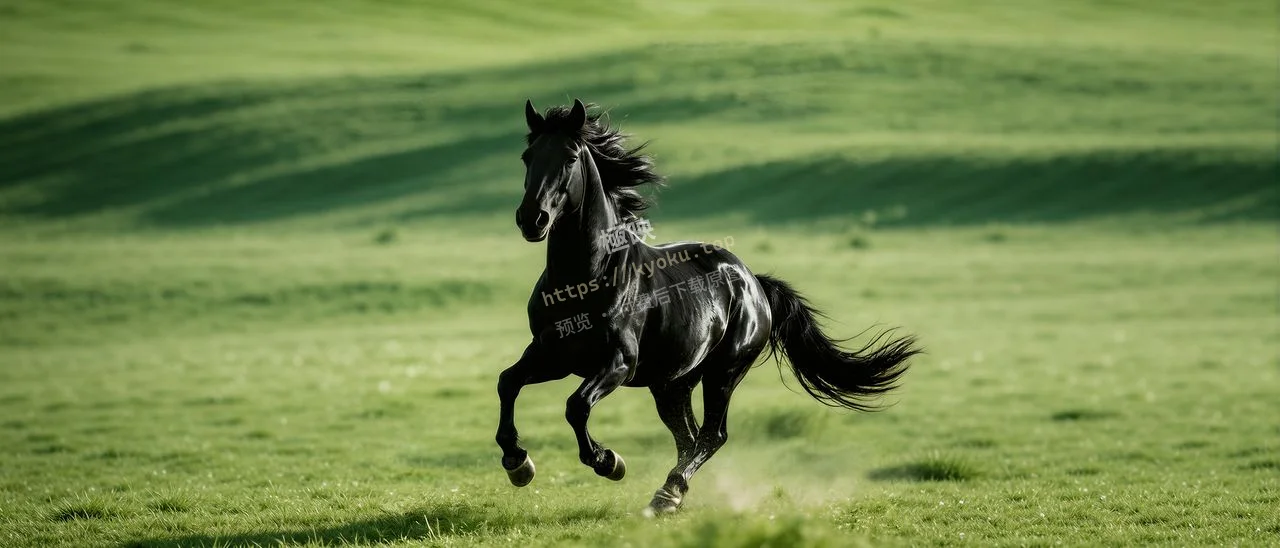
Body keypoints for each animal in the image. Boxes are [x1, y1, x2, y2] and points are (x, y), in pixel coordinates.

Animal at [497, 98, 920, 515]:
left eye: (570, 157)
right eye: (527, 156)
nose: (532, 219)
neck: (586, 279)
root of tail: (752, 282)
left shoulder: (618, 363)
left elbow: (576, 405)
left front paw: (609, 462)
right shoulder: (552, 355)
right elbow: (508, 382)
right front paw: (518, 463)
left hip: (724, 371)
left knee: (713, 434)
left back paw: (667, 494)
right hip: (672, 382)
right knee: (689, 437)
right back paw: (672, 495)